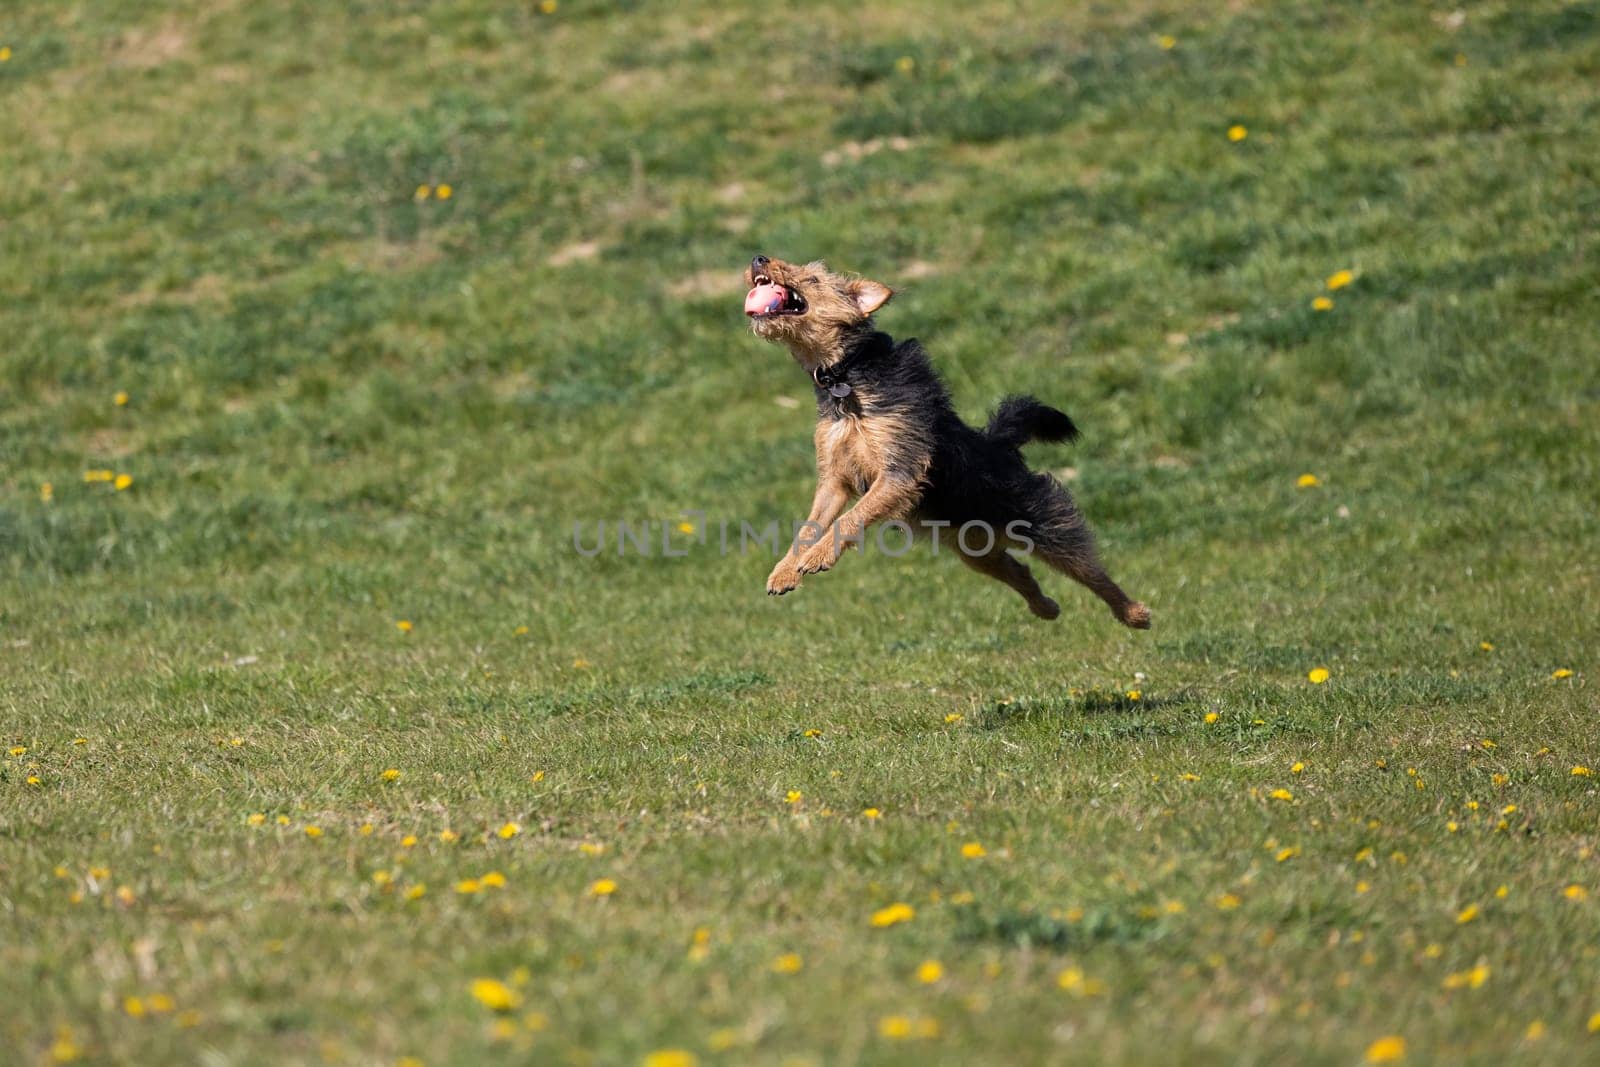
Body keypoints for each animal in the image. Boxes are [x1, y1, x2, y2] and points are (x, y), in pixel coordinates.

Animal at [742, 254, 1145, 627]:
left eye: (812, 278)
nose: (759, 257)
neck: (845, 376)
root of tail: (1001, 445)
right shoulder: (834, 479)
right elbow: (809, 526)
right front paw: (784, 570)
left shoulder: (899, 470)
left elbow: (851, 518)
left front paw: (817, 557)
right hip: (975, 549)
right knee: (1020, 571)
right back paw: (1045, 608)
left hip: (1045, 526)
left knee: (1092, 571)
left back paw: (1135, 613)